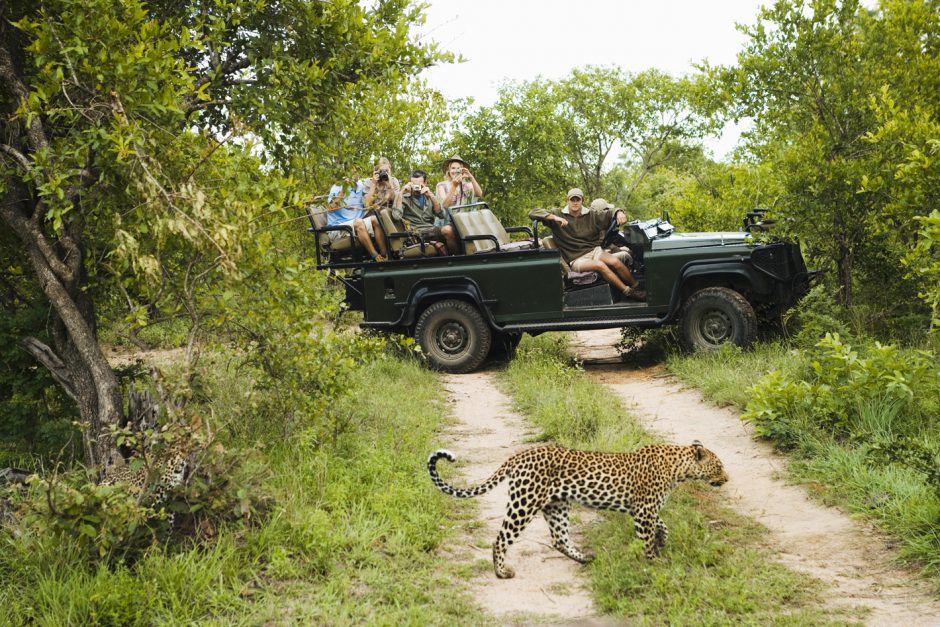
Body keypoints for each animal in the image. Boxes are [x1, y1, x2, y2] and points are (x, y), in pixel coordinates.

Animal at [430, 442, 732, 580]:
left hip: (557, 505)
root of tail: (518, 455)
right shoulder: (644, 511)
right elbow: (646, 539)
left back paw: (585, 558)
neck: (678, 468)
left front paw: (662, 541)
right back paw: (502, 572)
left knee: (559, 538)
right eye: (718, 466)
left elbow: (663, 525)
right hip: (524, 503)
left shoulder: (645, 510)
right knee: (501, 539)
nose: (727, 479)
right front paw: (652, 563)